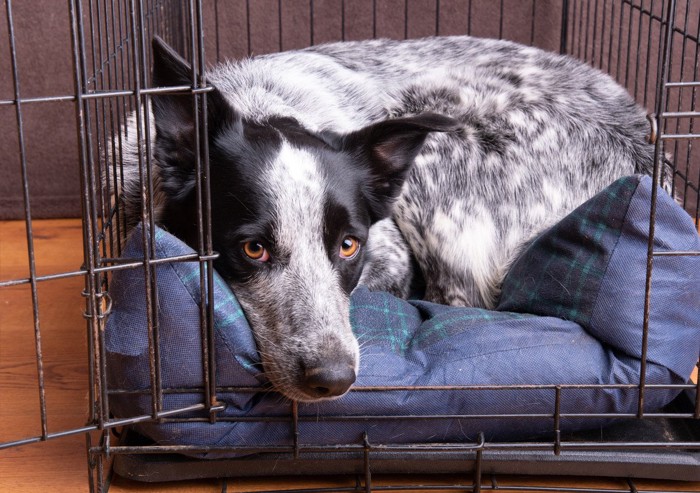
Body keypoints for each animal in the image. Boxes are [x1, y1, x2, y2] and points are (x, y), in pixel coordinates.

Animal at [116, 36, 656, 402]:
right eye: (253, 248)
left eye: (348, 245)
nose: (333, 379)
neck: (264, 105)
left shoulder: (392, 257)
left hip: (433, 135)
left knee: (461, 298)